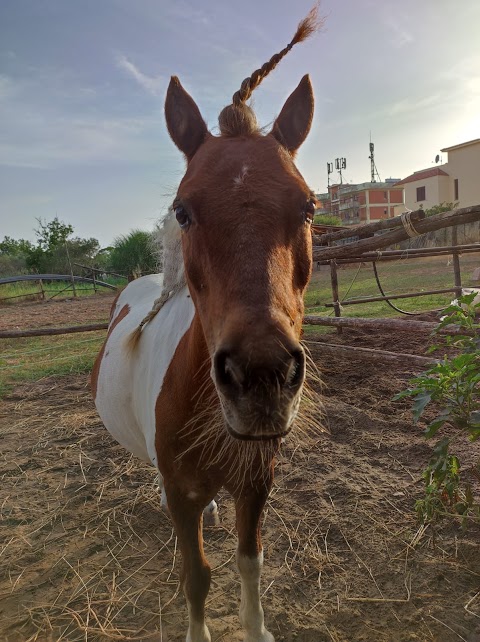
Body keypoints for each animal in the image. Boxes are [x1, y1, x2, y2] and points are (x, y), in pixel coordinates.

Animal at [91, 6, 320, 640]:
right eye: (183, 210)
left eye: (309, 205)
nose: (262, 376)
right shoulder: (181, 494)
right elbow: (196, 575)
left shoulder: (256, 482)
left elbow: (249, 561)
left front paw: (257, 629)